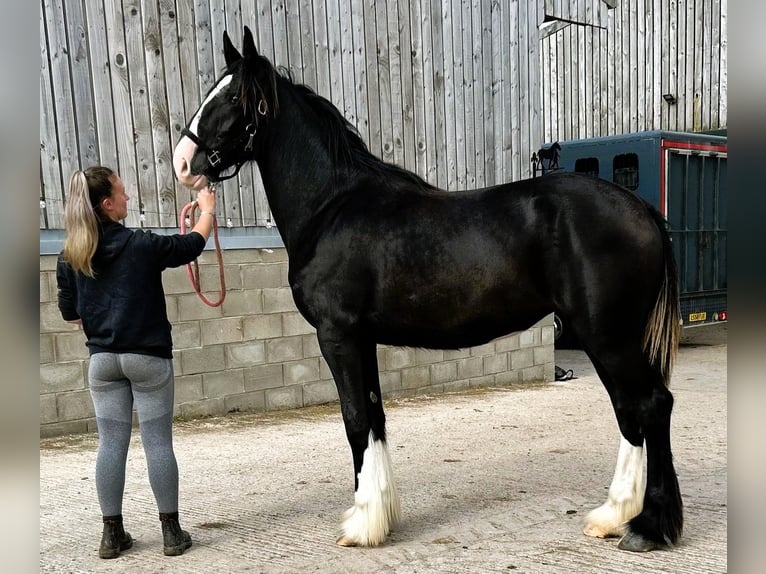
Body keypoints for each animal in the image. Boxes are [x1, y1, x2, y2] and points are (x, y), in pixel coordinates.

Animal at [174, 27, 684, 552]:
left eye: (233, 97)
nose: (184, 162)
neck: (332, 207)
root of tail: (642, 210)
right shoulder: (362, 339)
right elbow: (374, 417)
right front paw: (379, 516)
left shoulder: (338, 335)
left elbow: (355, 420)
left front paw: (360, 524)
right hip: (605, 338)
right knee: (629, 410)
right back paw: (613, 515)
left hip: (608, 336)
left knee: (651, 405)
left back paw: (648, 527)